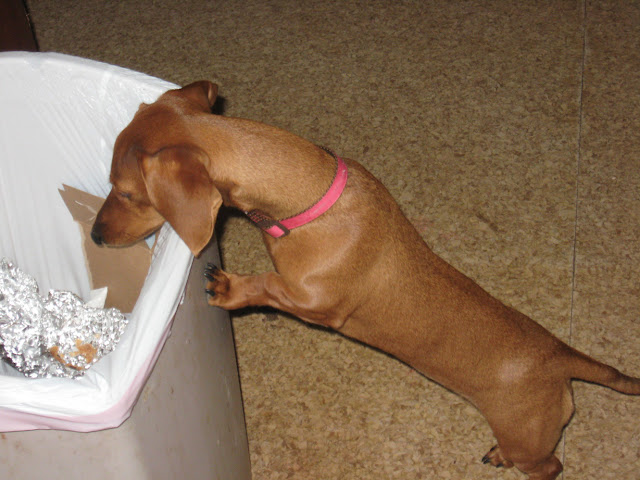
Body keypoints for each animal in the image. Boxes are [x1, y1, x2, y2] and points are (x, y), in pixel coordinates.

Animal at [91, 80, 640, 478]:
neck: (310, 201)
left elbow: (267, 285)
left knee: (551, 466)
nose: (95, 235)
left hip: (530, 440)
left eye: (127, 192)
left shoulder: (315, 302)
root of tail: (558, 355)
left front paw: (231, 288)